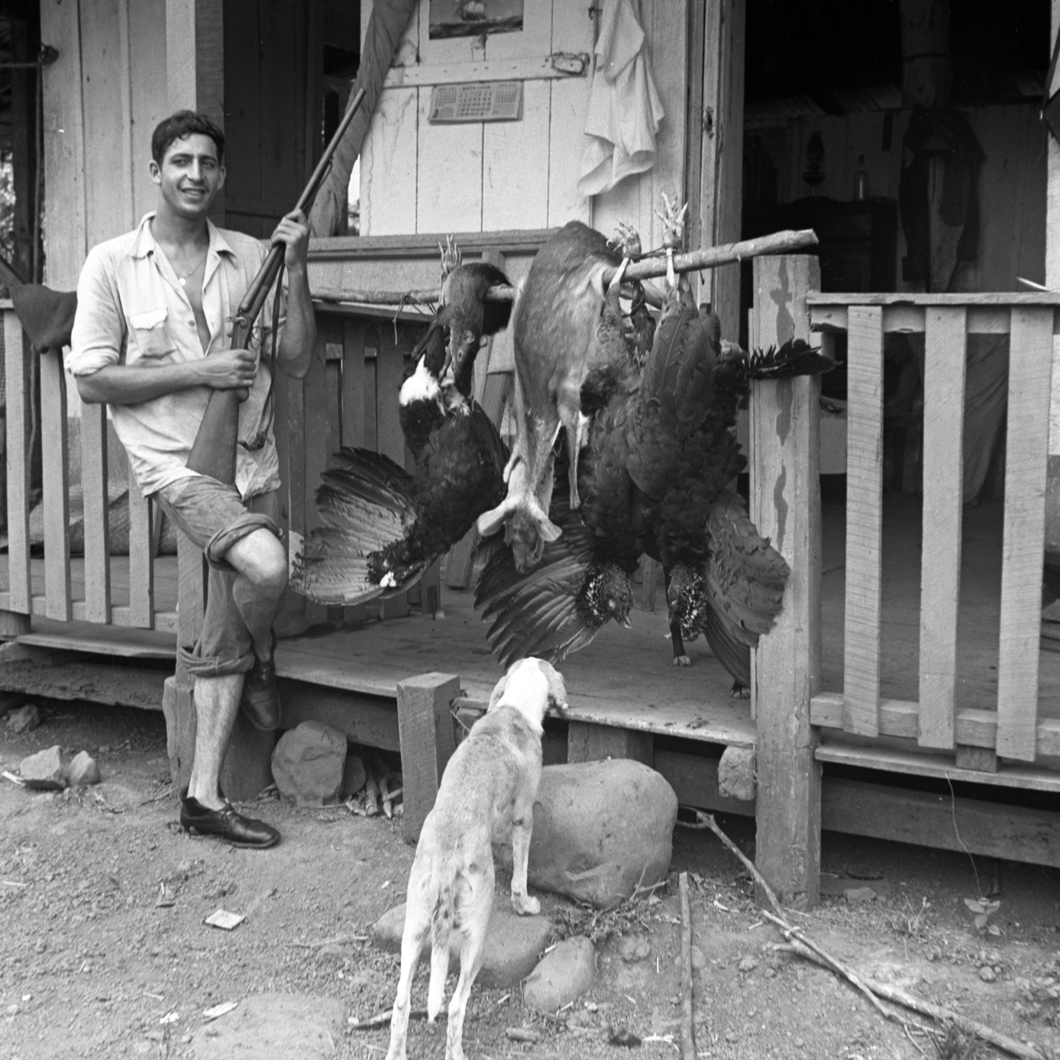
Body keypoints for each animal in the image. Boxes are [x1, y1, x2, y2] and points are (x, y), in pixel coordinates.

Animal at [385, 657, 568, 1055]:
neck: (513, 708)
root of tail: (446, 858)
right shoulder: (523, 817)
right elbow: (520, 874)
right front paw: (524, 904)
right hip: (475, 942)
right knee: (455, 1005)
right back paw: (456, 1052)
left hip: (413, 931)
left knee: (402, 1000)